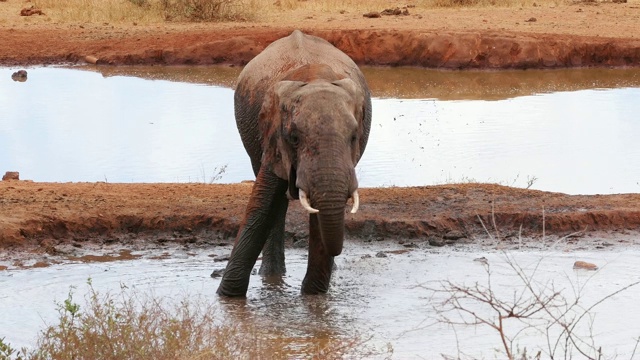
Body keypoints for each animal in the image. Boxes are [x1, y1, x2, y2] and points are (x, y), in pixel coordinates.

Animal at [218, 29, 372, 296]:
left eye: (354, 137)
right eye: (294, 138)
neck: (316, 77)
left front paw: (313, 297)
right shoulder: (272, 136)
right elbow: (262, 205)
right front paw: (227, 298)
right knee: (277, 204)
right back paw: (271, 275)